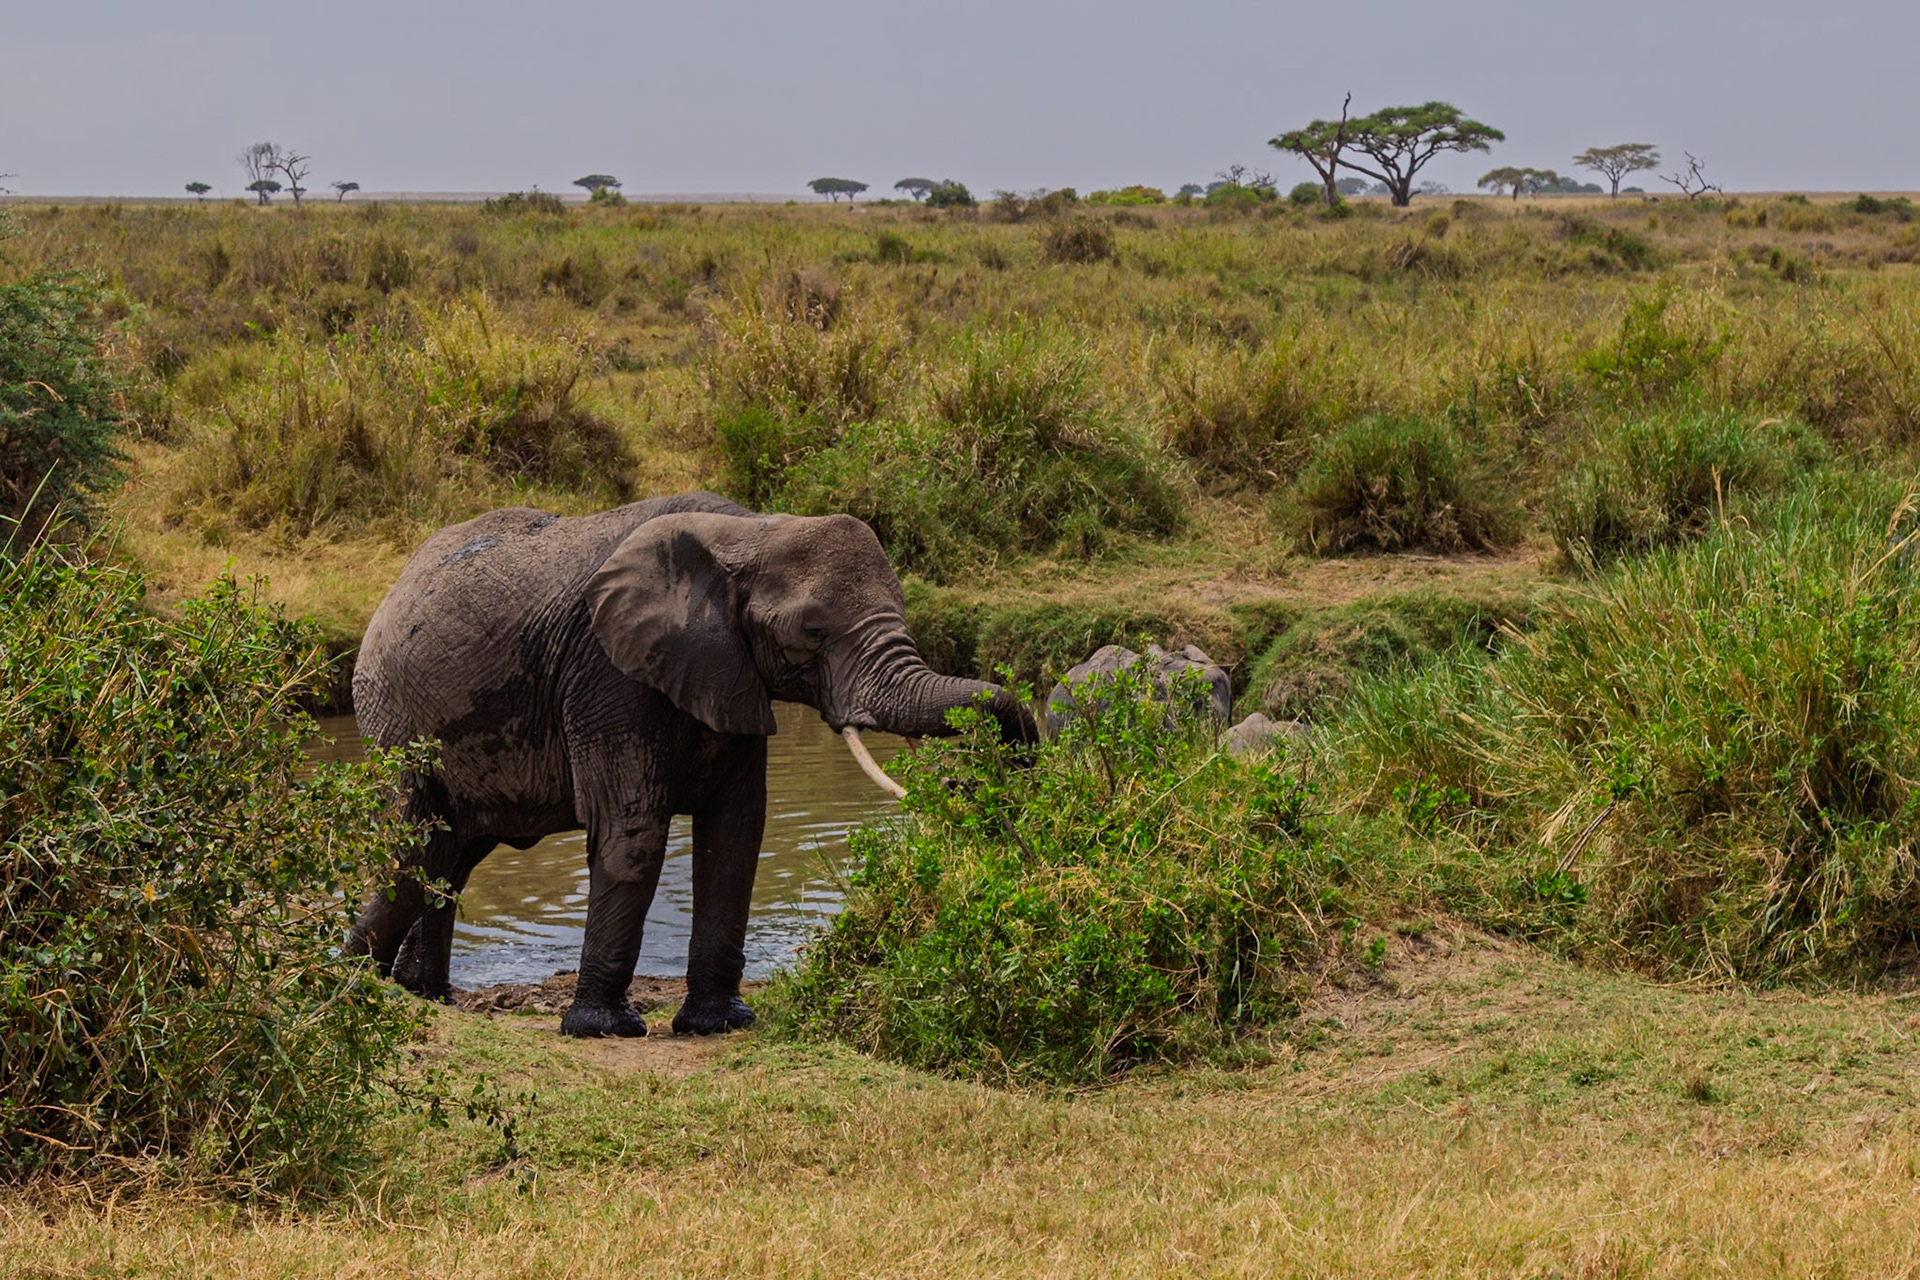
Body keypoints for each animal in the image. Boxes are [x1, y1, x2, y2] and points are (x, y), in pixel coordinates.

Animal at [345, 492, 1037, 1037]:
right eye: (809, 633)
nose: (1005, 765)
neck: (750, 531)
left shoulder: (727, 674)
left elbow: (736, 832)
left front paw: (719, 1024)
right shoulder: (607, 670)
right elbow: (635, 831)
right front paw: (606, 1030)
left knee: (448, 858)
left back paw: (424, 995)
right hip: (393, 717)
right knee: (419, 847)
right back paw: (354, 985)